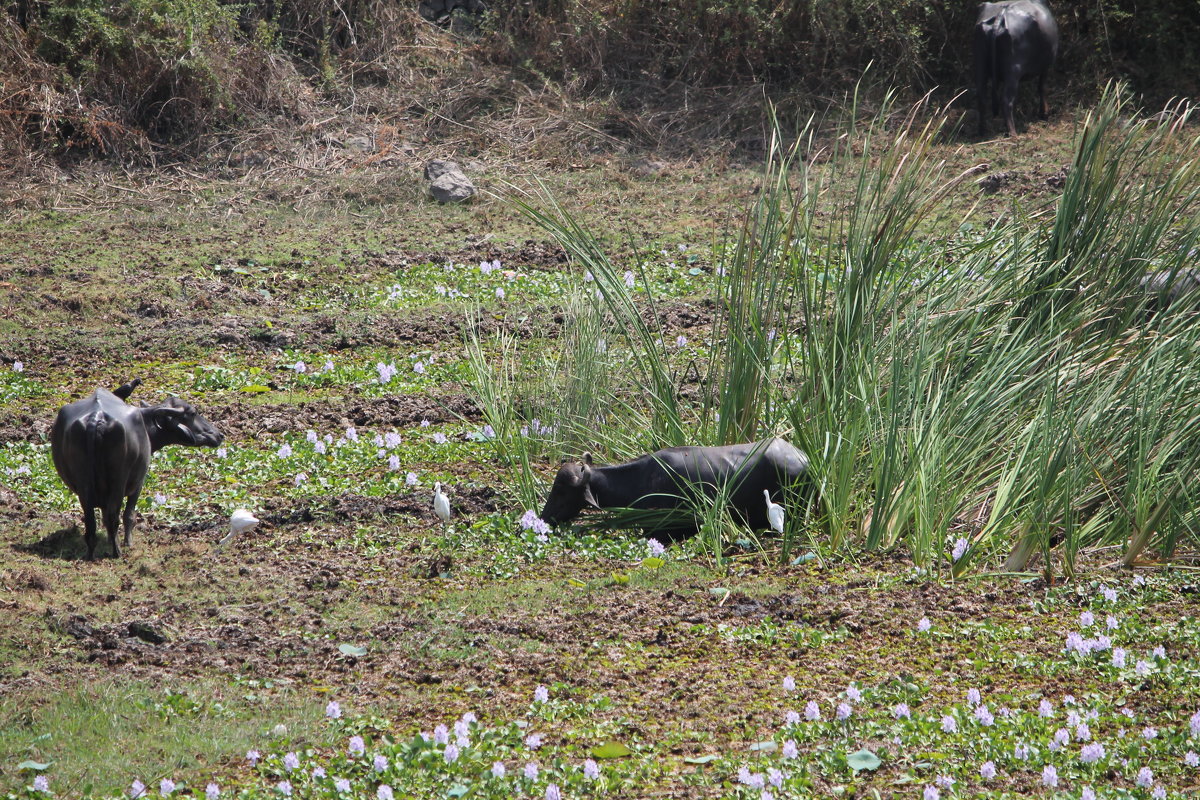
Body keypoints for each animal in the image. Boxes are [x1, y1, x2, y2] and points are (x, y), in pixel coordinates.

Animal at [50, 386, 224, 561]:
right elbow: (129, 515)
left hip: (84, 483)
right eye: (193, 413)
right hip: (119, 480)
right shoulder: (138, 484)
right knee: (114, 516)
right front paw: (128, 543)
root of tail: (96, 418)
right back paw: (117, 552)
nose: (219, 435)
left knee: (91, 520)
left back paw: (91, 552)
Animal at [974, 0, 1060, 136]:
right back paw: (1013, 133)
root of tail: (1000, 16)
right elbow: (1042, 88)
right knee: (1006, 100)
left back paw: (982, 131)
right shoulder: (1046, 67)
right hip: (1013, 71)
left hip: (980, 66)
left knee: (981, 97)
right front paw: (1044, 114)